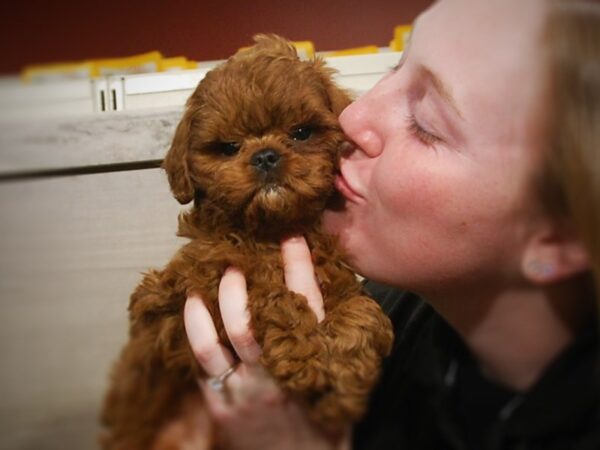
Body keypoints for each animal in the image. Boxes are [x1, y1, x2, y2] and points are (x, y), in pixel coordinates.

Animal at [102, 34, 394, 450]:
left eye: (301, 133)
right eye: (229, 147)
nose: (266, 156)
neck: (268, 230)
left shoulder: (338, 279)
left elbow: (364, 311)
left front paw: (343, 385)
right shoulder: (180, 294)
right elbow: (268, 286)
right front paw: (304, 353)